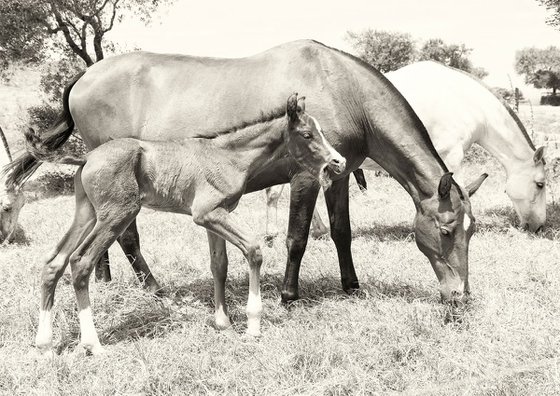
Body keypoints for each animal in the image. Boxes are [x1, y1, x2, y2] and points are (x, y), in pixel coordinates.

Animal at [5, 39, 486, 306]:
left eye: (472, 230)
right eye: (446, 230)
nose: (460, 296)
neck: (342, 88)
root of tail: (85, 74)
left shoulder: (340, 175)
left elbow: (341, 232)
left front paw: (351, 286)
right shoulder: (306, 178)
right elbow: (297, 237)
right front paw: (289, 295)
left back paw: (105, 278)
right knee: (127, 236)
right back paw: (152, 288)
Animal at [32, 94, 346, 354]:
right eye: (307, 134)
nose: (339, 161)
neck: (228, 156)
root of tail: (86, 157)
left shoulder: (214, 216)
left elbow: (219, 265)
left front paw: (223, 322)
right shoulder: (208, 213)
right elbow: (254, 250)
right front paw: (253, 325)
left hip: (87, 214)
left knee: (54, 262)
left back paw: (45, 345)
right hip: (117, 214)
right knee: (80, 262)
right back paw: (92, 344)